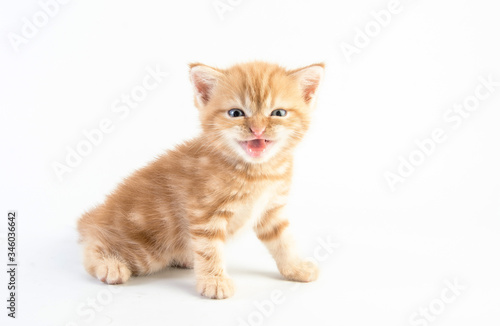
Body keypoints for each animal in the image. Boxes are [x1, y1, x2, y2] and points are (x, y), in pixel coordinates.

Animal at [78, 60, 324, 298]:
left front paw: (295, 268)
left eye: (278, 113)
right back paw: (110, 266)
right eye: (236, 113)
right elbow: (209, 249)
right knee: (93, 247)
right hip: (146, 250)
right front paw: (214, 281)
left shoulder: (271, 210)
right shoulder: (205, 213)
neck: (258, 172)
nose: (257, 130)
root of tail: (95, 216)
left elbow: (284, 241)